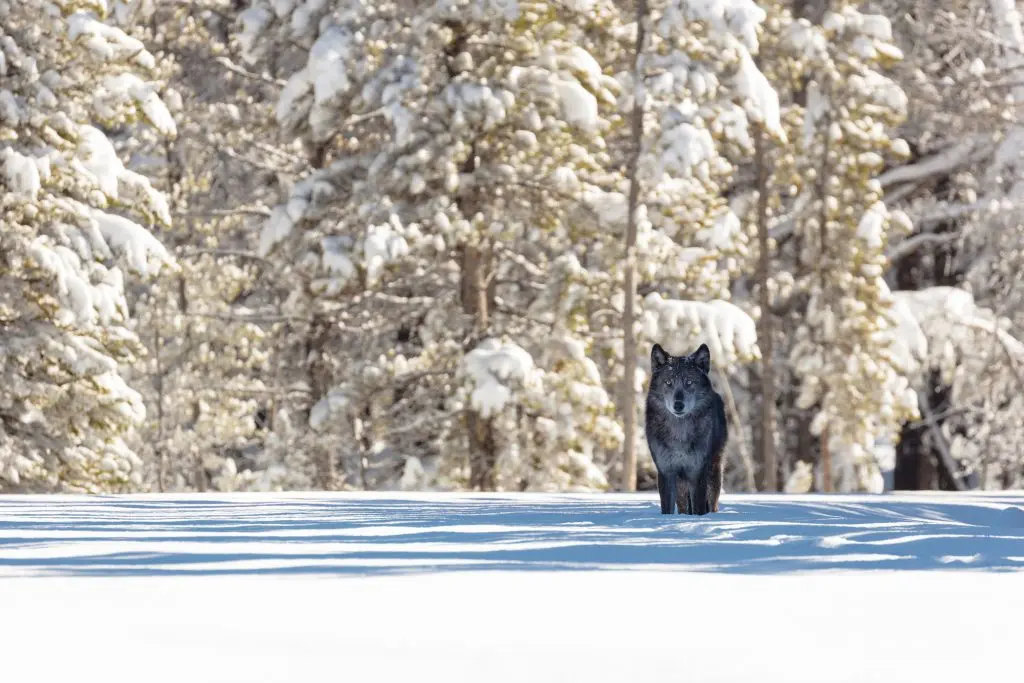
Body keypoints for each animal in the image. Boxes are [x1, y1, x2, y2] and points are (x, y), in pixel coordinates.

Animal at [644, 343, 728, 515]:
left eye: (689, 382)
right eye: (668, 382)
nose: (678, 405)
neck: (679, 433)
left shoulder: (697, 472)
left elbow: (699, 508)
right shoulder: (666, 472)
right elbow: (667, 509)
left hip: (713, 472)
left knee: (712, 504)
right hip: (681, 484)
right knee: (683, 506)